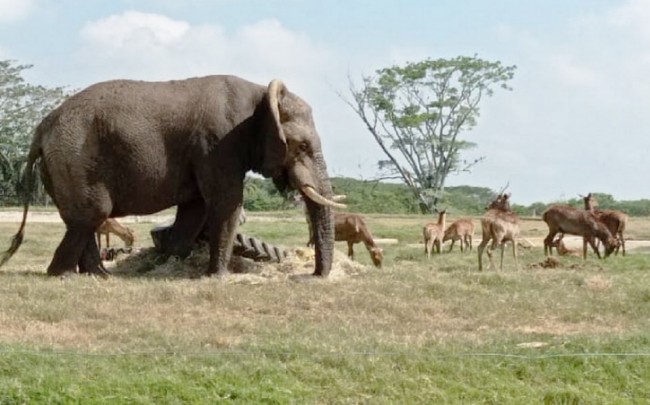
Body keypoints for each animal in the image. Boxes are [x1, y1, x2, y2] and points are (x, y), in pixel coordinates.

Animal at [0, 75, 344, 278]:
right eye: (302, 145)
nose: (312, 276)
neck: (260, 93)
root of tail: (42, 128)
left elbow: (196, 206)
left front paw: (167, 263)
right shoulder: (219, 142)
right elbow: (226, 202)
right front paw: (218, 278)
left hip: (60, 164)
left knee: (82, 221)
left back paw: (98, 276)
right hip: (74, 159)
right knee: (91, 215)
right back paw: (64, 275)